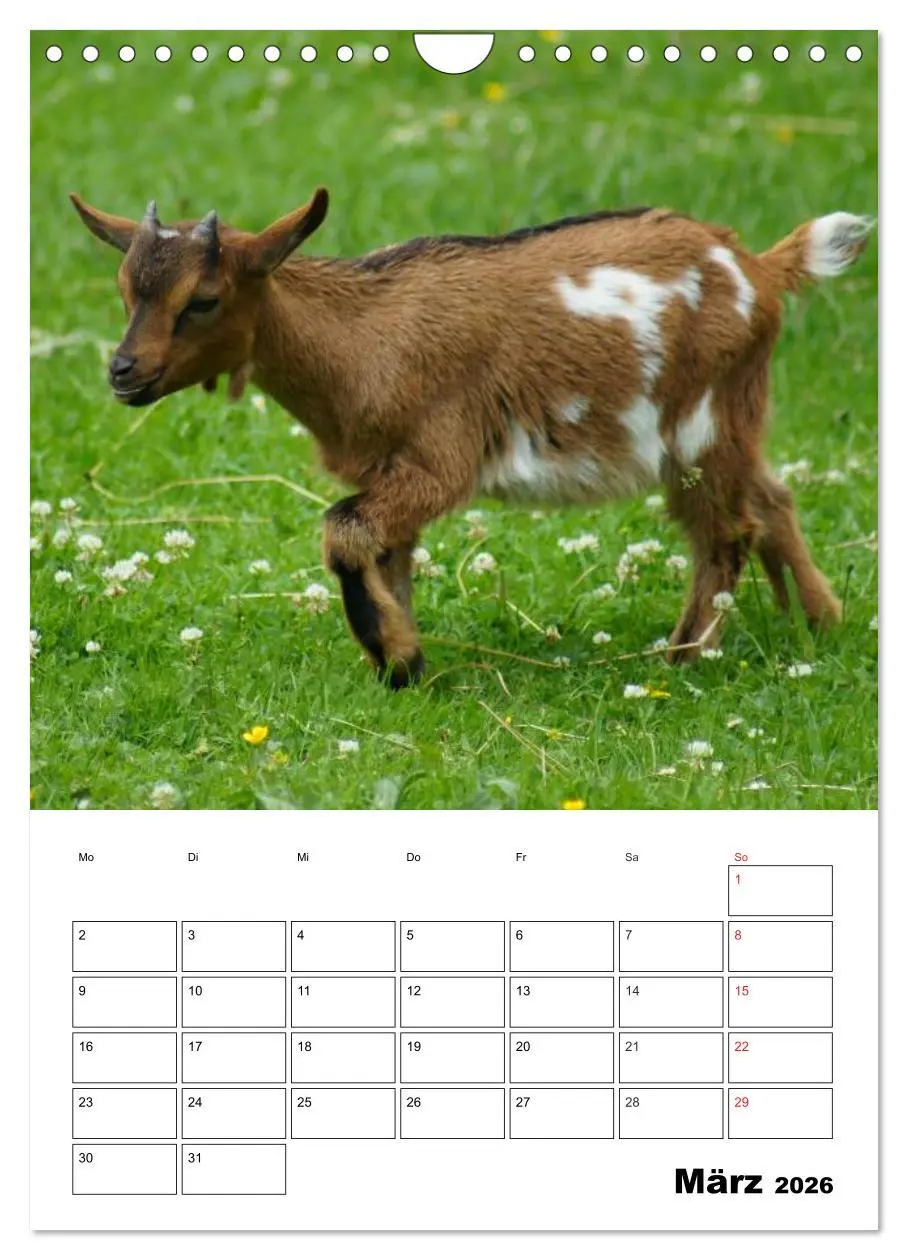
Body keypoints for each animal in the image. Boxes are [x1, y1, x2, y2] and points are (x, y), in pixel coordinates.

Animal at [70, 190, 874, 687]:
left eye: (203, 300)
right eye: (125, 290)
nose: (123, 373)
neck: (359, 340)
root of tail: (761, 268)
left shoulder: (440, 458)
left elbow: (345, 531)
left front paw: (397, 658)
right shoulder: (388, 467)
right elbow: (385, 551)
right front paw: (402, 661)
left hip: (702, 426)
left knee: (726, 530)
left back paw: (683, 657)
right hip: (732, 426)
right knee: (771, 500)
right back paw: (820, 624)